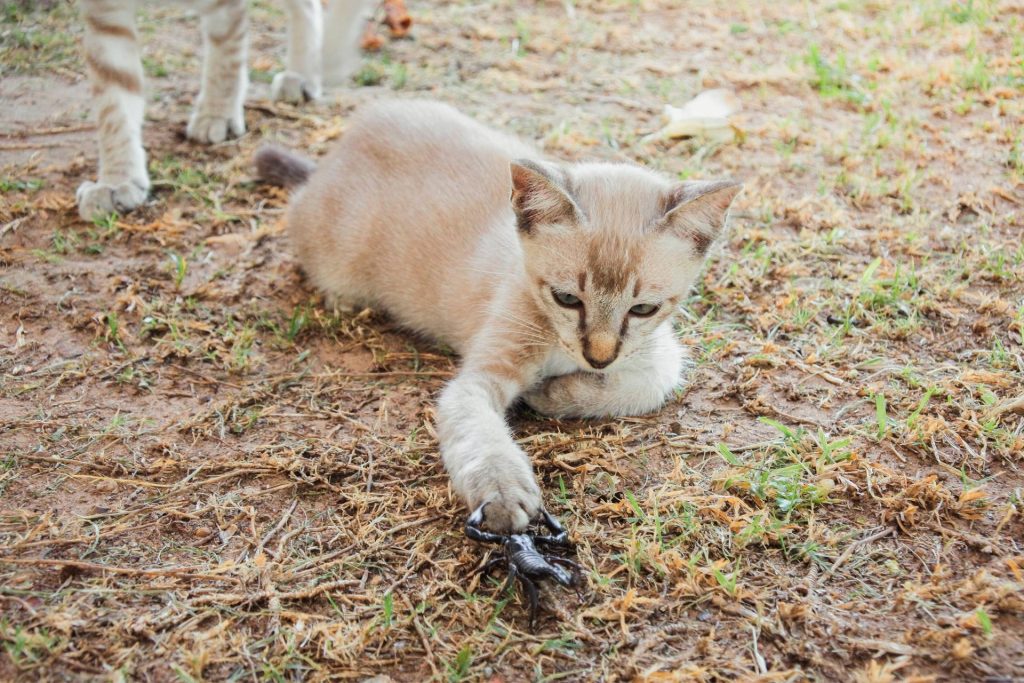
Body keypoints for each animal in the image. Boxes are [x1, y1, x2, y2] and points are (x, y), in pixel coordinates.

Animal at [75, 0, 372, 219]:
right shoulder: (106, 14)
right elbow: (114, 104)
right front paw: (116, 179)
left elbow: (226, 52)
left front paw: (217, 114)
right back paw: (303, 73)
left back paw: (328, 58)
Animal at [252, 98, 741, 532]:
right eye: (567, 299)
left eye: (642, 309)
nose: (598, 358)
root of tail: (337, 153)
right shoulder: (477, 380)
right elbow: (482, 438)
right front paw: (503, 493)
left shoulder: (658, 349)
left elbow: (648, 383)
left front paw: (552, 394)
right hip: (338, 256)